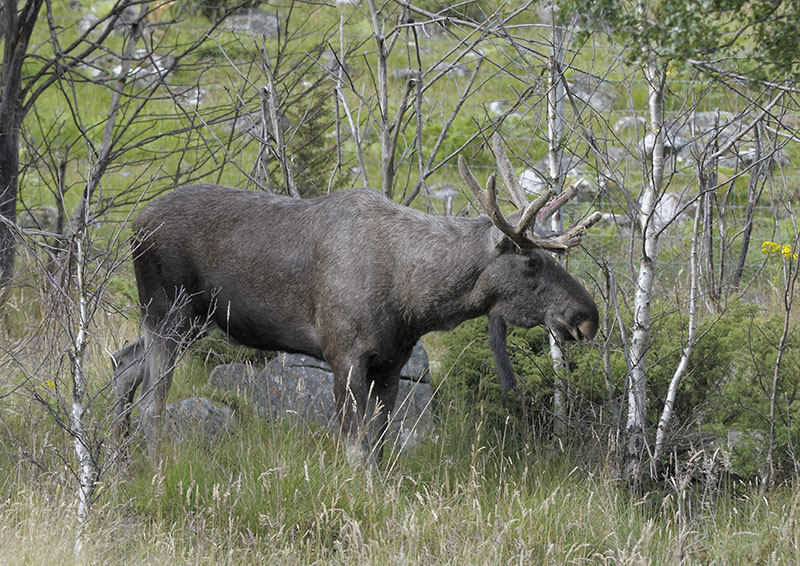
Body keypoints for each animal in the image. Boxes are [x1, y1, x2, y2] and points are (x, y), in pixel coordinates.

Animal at [114, 134, 602, 462]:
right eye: (531, 262)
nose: (588, 316)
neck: (414, 300)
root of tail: (134, 225)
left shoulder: (390, 363)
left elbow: (380, 445)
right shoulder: (344, 353)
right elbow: (356, 447)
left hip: (191, 320)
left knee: (123, 363)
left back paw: (118, 463)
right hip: (170, 311)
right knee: (152, 399)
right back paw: (153, 468)